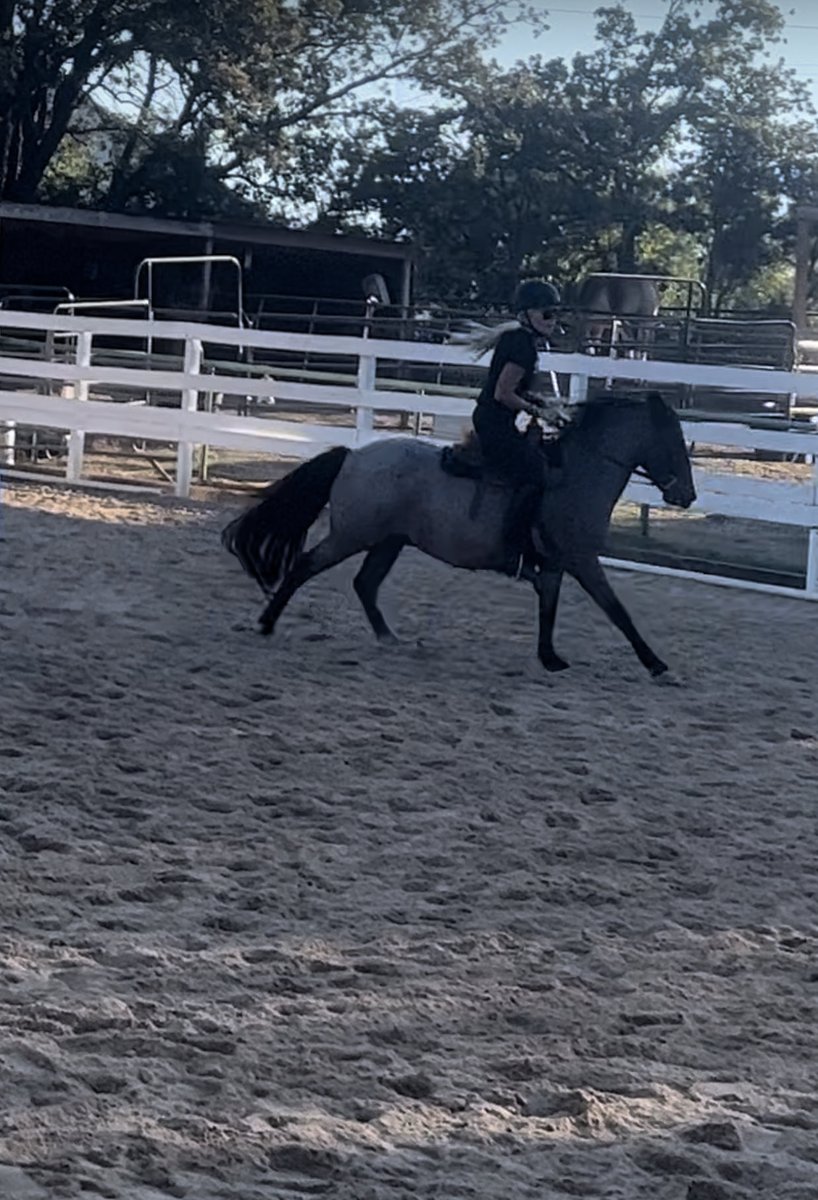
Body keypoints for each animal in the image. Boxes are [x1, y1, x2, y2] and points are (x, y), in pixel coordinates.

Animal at [221, 392, 696, 677]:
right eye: (672, 439)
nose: (687, 495)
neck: (576, 476)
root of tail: (353, 456)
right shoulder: (582, 561)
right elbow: (618, 612)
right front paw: (655, 663)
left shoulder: (559, 565)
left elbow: (550, 607)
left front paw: (549, 657)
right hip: (352, 536)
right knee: (306, 566)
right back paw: (266, 622)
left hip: (389, 541)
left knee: (365, 583)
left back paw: (389, 638)